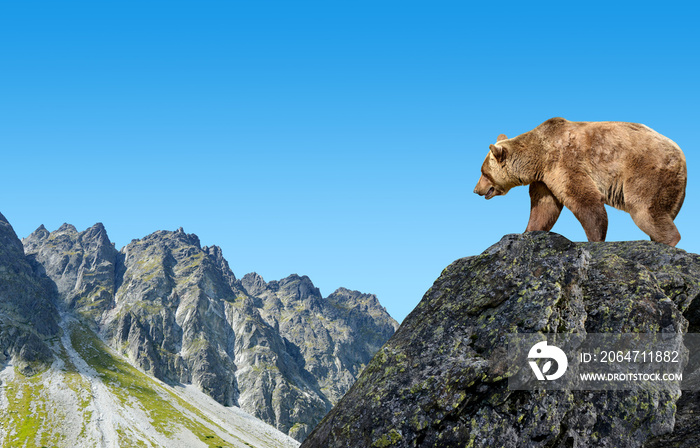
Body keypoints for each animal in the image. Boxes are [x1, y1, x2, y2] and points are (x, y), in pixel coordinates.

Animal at [474, 117, 688, 247]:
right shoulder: (544, 180)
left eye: (484, 172)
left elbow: (585, 200)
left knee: (644, 208)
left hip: (646, 172)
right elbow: (544, 208)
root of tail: (681, 153)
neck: (537, 157)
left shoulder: (564, 162)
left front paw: (595, 239)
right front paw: (527, 231)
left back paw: (667, 241)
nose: (476, 189)